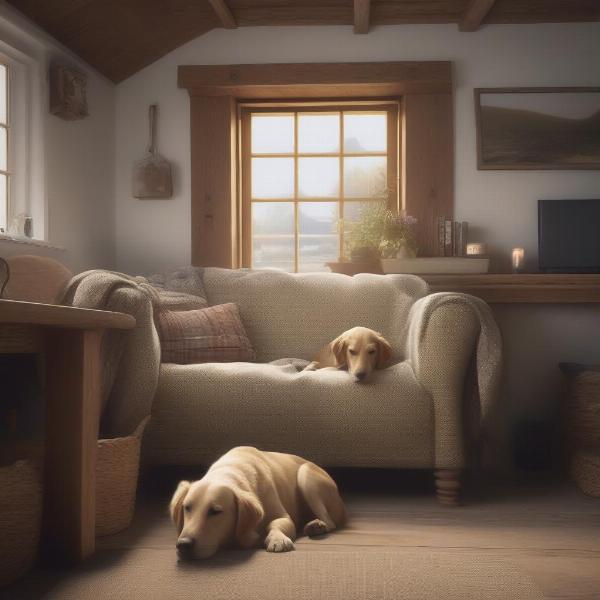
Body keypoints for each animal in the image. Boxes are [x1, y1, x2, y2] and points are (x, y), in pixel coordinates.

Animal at [170, 446, 346, 556]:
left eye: (215, 511)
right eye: (187, 508)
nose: (183, 544)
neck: (231, 471)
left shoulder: (283, 516)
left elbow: (275, 524)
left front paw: (277, 538)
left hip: (305, 475)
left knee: (330, 522)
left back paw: (315, 526)